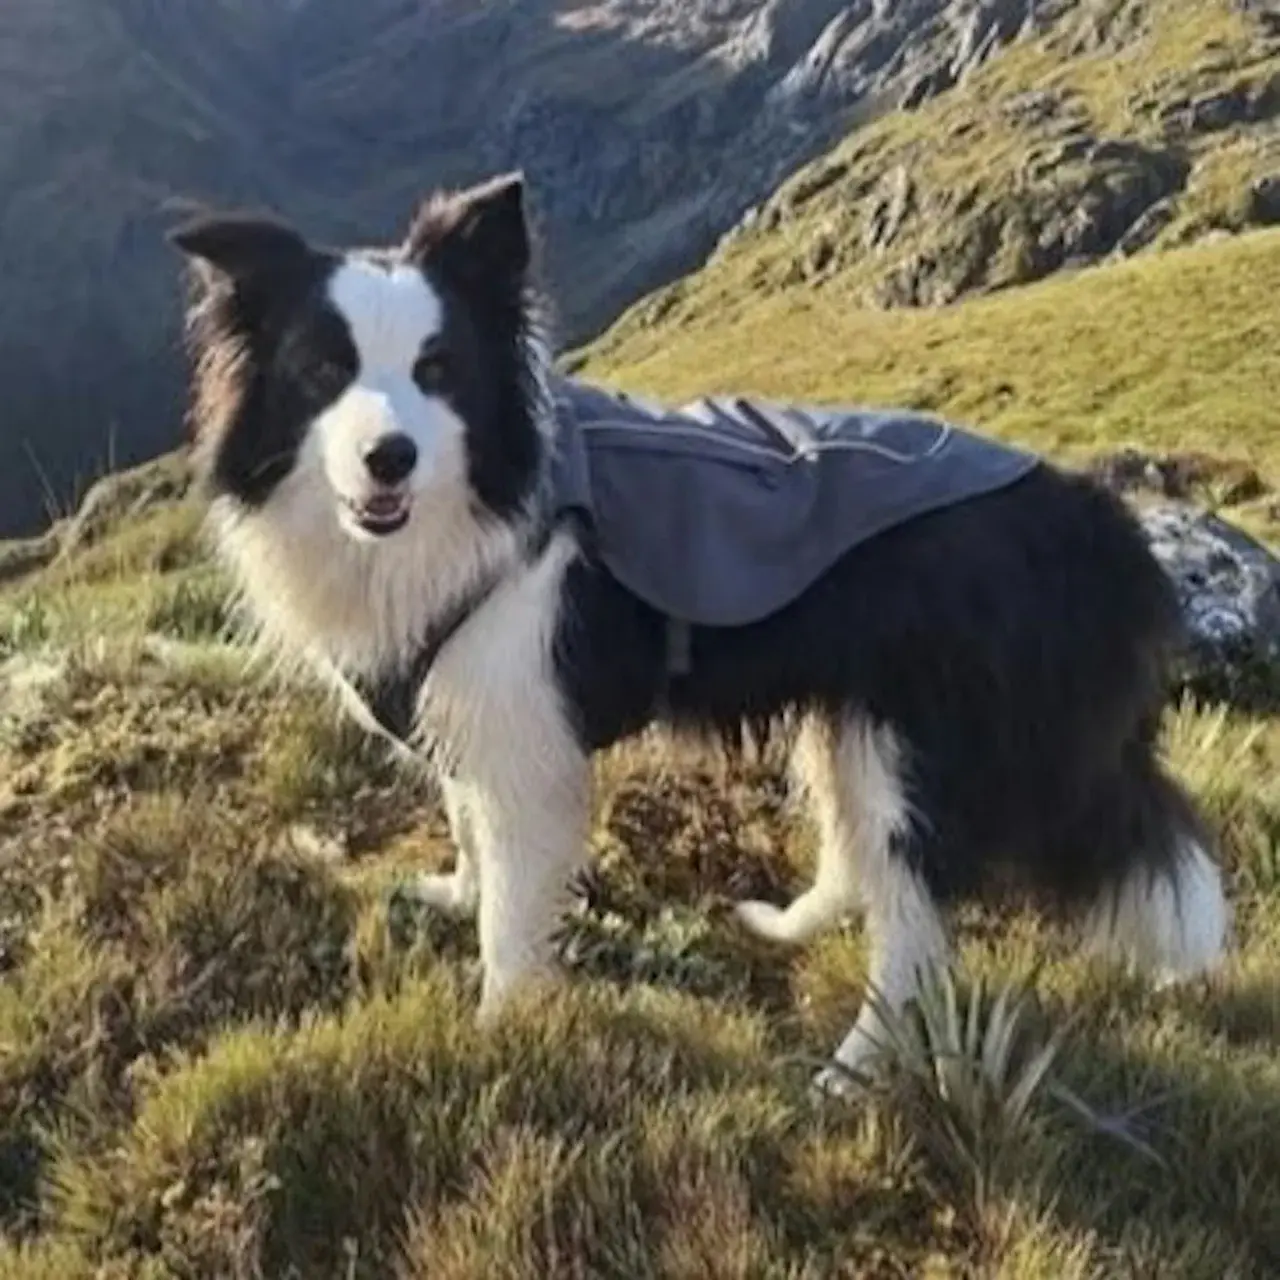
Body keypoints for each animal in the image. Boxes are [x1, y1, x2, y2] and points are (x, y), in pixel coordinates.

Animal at [168, 172, 1229, 1086]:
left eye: (439, 371)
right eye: (322, 369)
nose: (389, 458)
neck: (474, 508)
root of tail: (1088, 518)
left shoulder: (526, 735)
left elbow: (511, 911)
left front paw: (496, 1031)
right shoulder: (473, 712)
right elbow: (468, 830)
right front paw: (455, 895)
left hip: (918, 750)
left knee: (917, 939)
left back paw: (849, 1075)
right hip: (852, 721)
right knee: (858, 856)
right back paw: (787, 925)